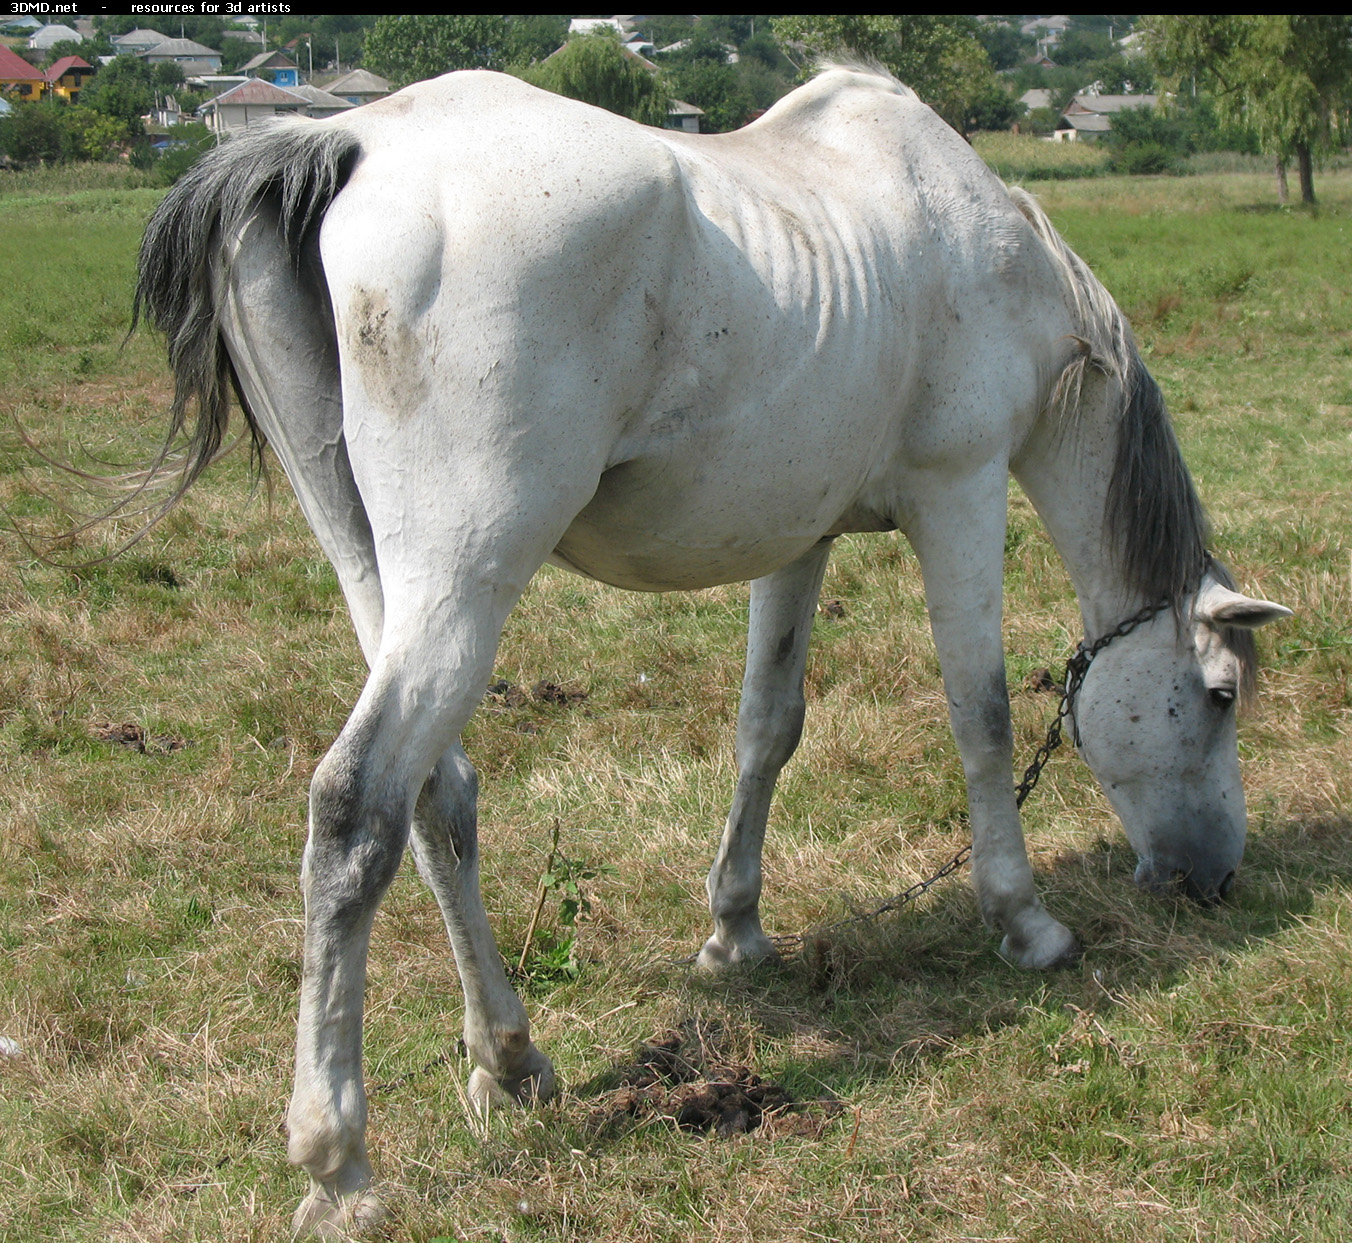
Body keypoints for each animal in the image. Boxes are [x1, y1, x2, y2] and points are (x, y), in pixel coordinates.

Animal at [134, 67, 1287, 1233]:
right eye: (1218, 693)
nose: (1208, 879)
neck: (979, 242)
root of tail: (351, 142)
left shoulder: (801, 539)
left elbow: (766, 727)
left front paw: (734, 931)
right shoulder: (958, 496)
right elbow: (983, 715)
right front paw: (1025, 922)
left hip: (378, 574)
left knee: (435, 797)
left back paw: (510, 1062)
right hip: (463, 577)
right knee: (355, 808)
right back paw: (339, 1164)